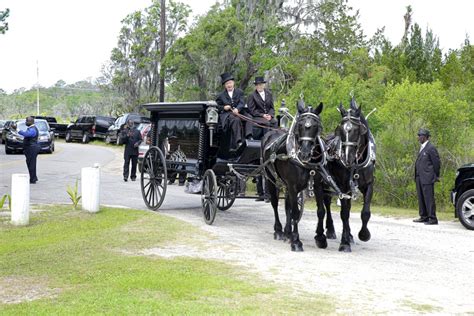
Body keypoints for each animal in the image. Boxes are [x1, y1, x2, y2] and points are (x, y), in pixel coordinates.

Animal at [260, 101, 326, 252]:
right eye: (300, 125)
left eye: (315, 126)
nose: (305, 153)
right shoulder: (292, 185)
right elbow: (295, 211)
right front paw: (296, 241)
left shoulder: (317, 186)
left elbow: (321, 211)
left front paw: (320, 238)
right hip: (271, 180)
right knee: (275, 204)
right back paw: (279, 230)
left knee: (287, 205)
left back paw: (287, 232)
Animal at [316, 100, 376, 253]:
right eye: (341, 130)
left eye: (358, 130)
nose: (347, 157)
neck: (357, 163)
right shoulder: (342, 187)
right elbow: (344, 214)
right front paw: (344, 244)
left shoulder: (368, 185)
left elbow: (365, 212)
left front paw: (363, 234)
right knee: (325, 206)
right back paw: (329, 231)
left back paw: (348, 235)